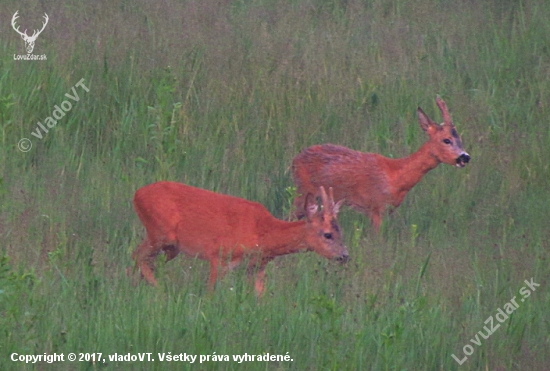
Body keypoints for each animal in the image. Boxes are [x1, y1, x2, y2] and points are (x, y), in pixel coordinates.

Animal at [132, 181, 350, 296]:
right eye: (328, 234)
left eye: (341, 232)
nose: (345, 255)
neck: (263, 233)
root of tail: (136, 193)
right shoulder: (219, 256)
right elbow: (210, 292)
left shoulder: (258, 266)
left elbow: (261, 296)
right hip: (160, 233)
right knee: (138, 255)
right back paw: (159, 290)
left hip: (171, 246)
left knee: (144, 261)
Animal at [292, 97, 472, 231]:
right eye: (446, 140)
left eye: (460, 139)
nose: (465, 157)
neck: (396, 176)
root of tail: (296, 159)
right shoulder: (377, 207)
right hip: (303, 190)